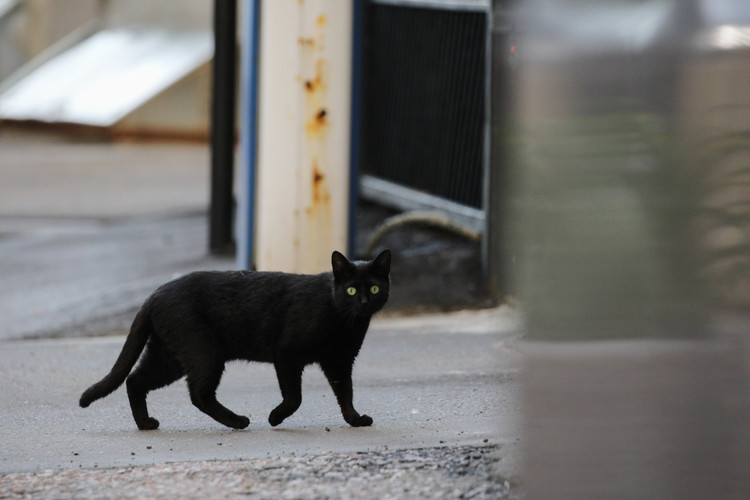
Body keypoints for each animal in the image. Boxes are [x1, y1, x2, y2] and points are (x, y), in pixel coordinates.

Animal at [78, 250, 390, 430]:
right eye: (351, 290)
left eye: (374, 288)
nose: (364, 302)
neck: (346, 322)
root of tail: (153, 295)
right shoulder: (286, 354)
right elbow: (295, 397)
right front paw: (275, 417)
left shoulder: (340, 361)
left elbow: (346, 393)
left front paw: (355, 420)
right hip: (204, 352)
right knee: (198, 393)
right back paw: (238, 421)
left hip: (170, 356)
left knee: (135, 380)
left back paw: (145, 424)